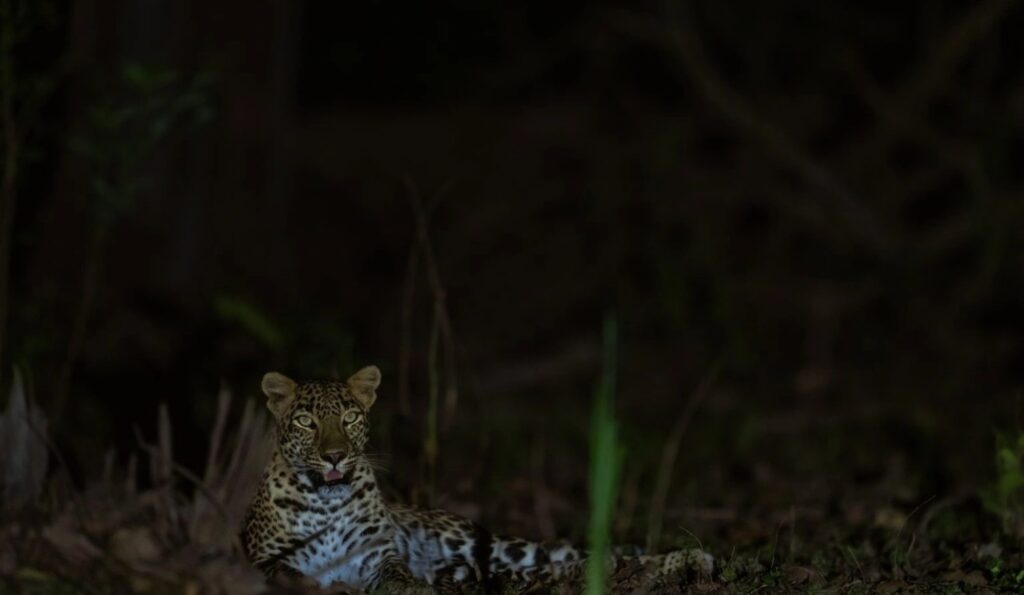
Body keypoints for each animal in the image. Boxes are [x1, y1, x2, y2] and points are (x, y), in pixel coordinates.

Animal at [242, 365, 713, 593]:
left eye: (350, 418)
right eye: (305, 422)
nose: (336, 456)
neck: (326, 500)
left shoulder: (376, 555)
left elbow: (397, 573)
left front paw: (412, 588)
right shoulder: (265, 558)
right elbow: (290, 572)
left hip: (486, 543)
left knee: (578, 557)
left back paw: (691, 558)